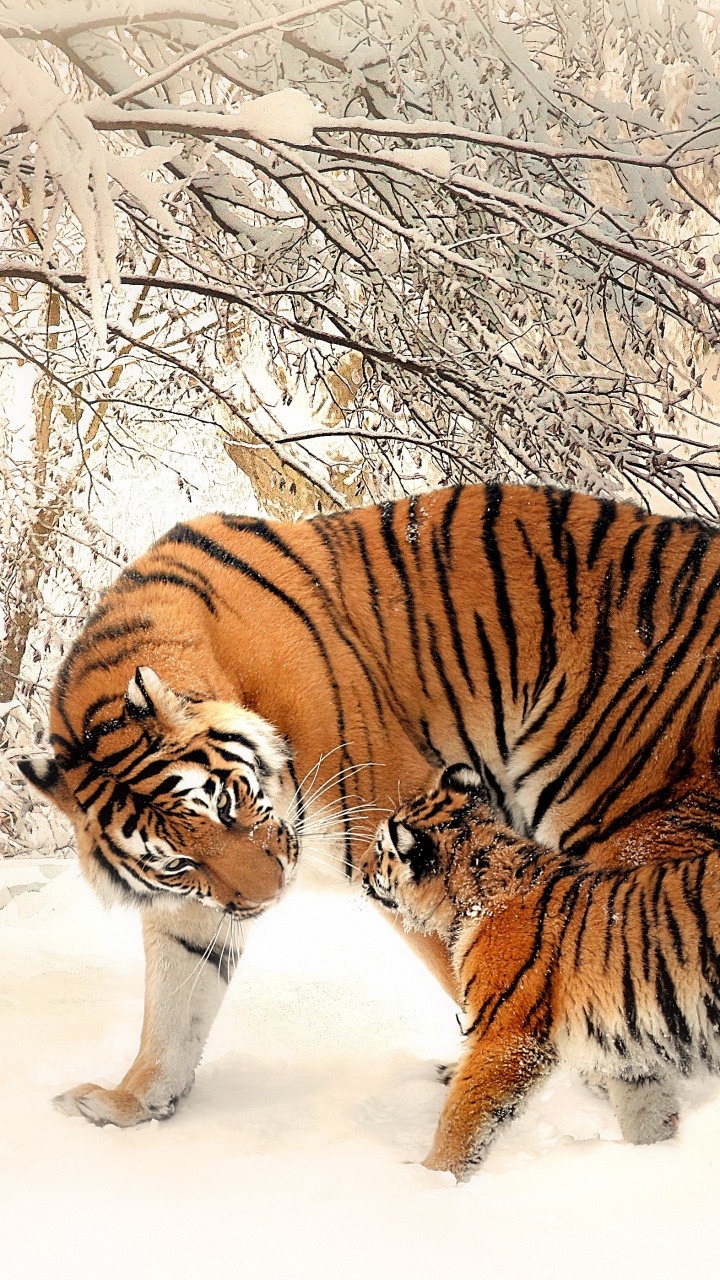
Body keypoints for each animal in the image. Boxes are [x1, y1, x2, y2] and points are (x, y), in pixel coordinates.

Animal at [18, 482, 720, 1128]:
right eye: (176, 864)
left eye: (227, 805)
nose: (268, 897)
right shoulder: (195, 905)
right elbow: (174, 1001)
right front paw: (130, 1102)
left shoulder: (402, 827)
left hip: (639, 832)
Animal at [360, 763, 720, 1179]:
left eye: (379, 849)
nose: (360, 871)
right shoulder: (628, 1055)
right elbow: (646, 1113)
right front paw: (652, 1157)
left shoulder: (506, 1037)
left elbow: (461, 1117)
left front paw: (429, 1177)